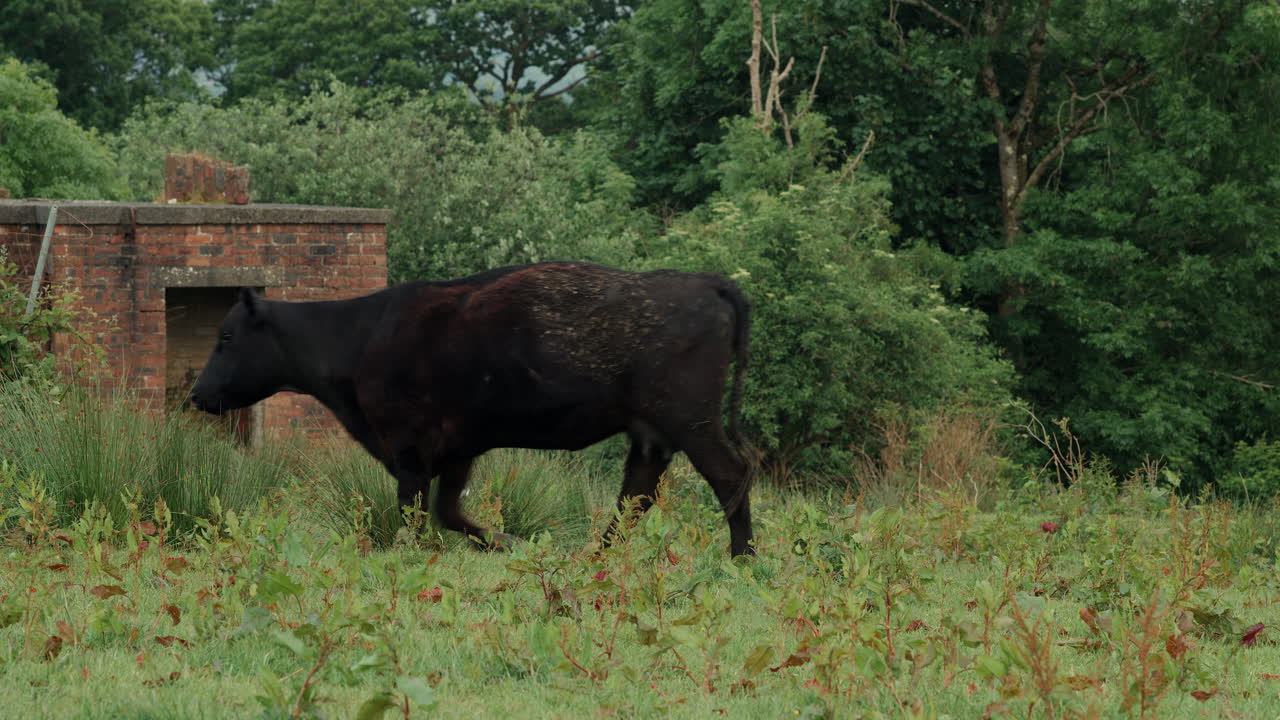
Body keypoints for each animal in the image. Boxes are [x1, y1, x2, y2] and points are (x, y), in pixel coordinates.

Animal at [189, 262, 755, 556]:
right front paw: (510, 541)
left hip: (692, 422)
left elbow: (415, 513)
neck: (360, 336)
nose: (196, 395)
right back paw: (598, 556)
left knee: (728, 475)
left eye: (226, 337)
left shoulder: (411, 448)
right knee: (636, 494)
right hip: (651, 434)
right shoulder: (458, 450)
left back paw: (742, 556)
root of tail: (704, 281)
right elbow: (449, 511)